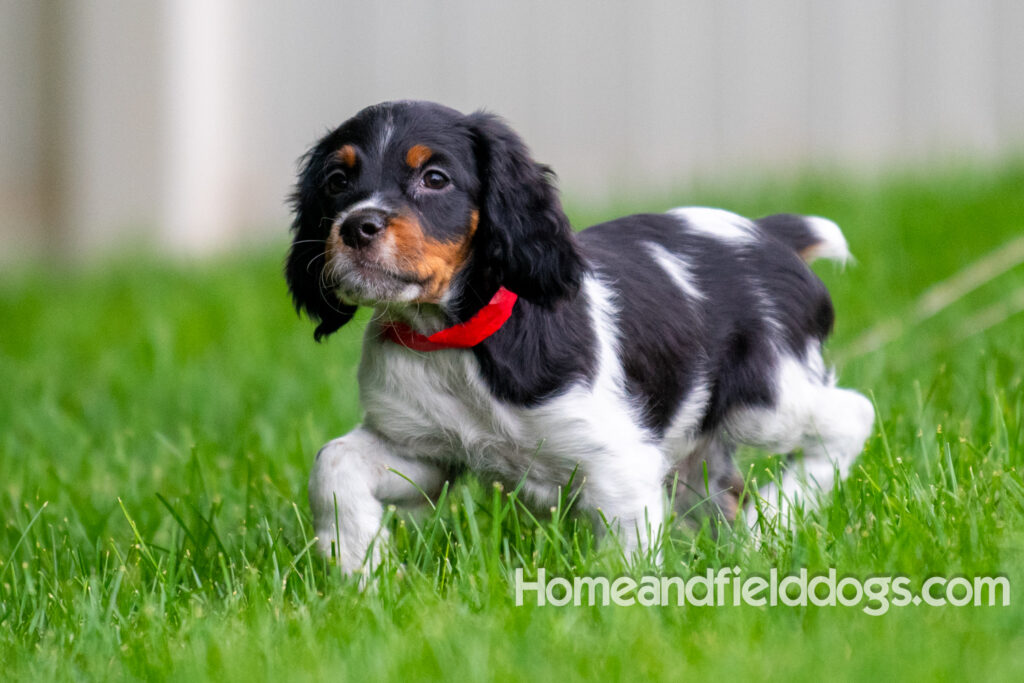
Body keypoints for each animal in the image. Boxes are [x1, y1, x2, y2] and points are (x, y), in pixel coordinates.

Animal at [286, 100, 872, 573]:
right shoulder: (423, 448)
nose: (356, 227)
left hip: (765, 398)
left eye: (434, 178)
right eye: (337, 181)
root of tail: (769, 235)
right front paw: (358, 568)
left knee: (851, 415)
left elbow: (624, 555)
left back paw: (775, 513)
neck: (457, 341)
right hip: (698, 450)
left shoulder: (618, 460)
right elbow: (332, 463)